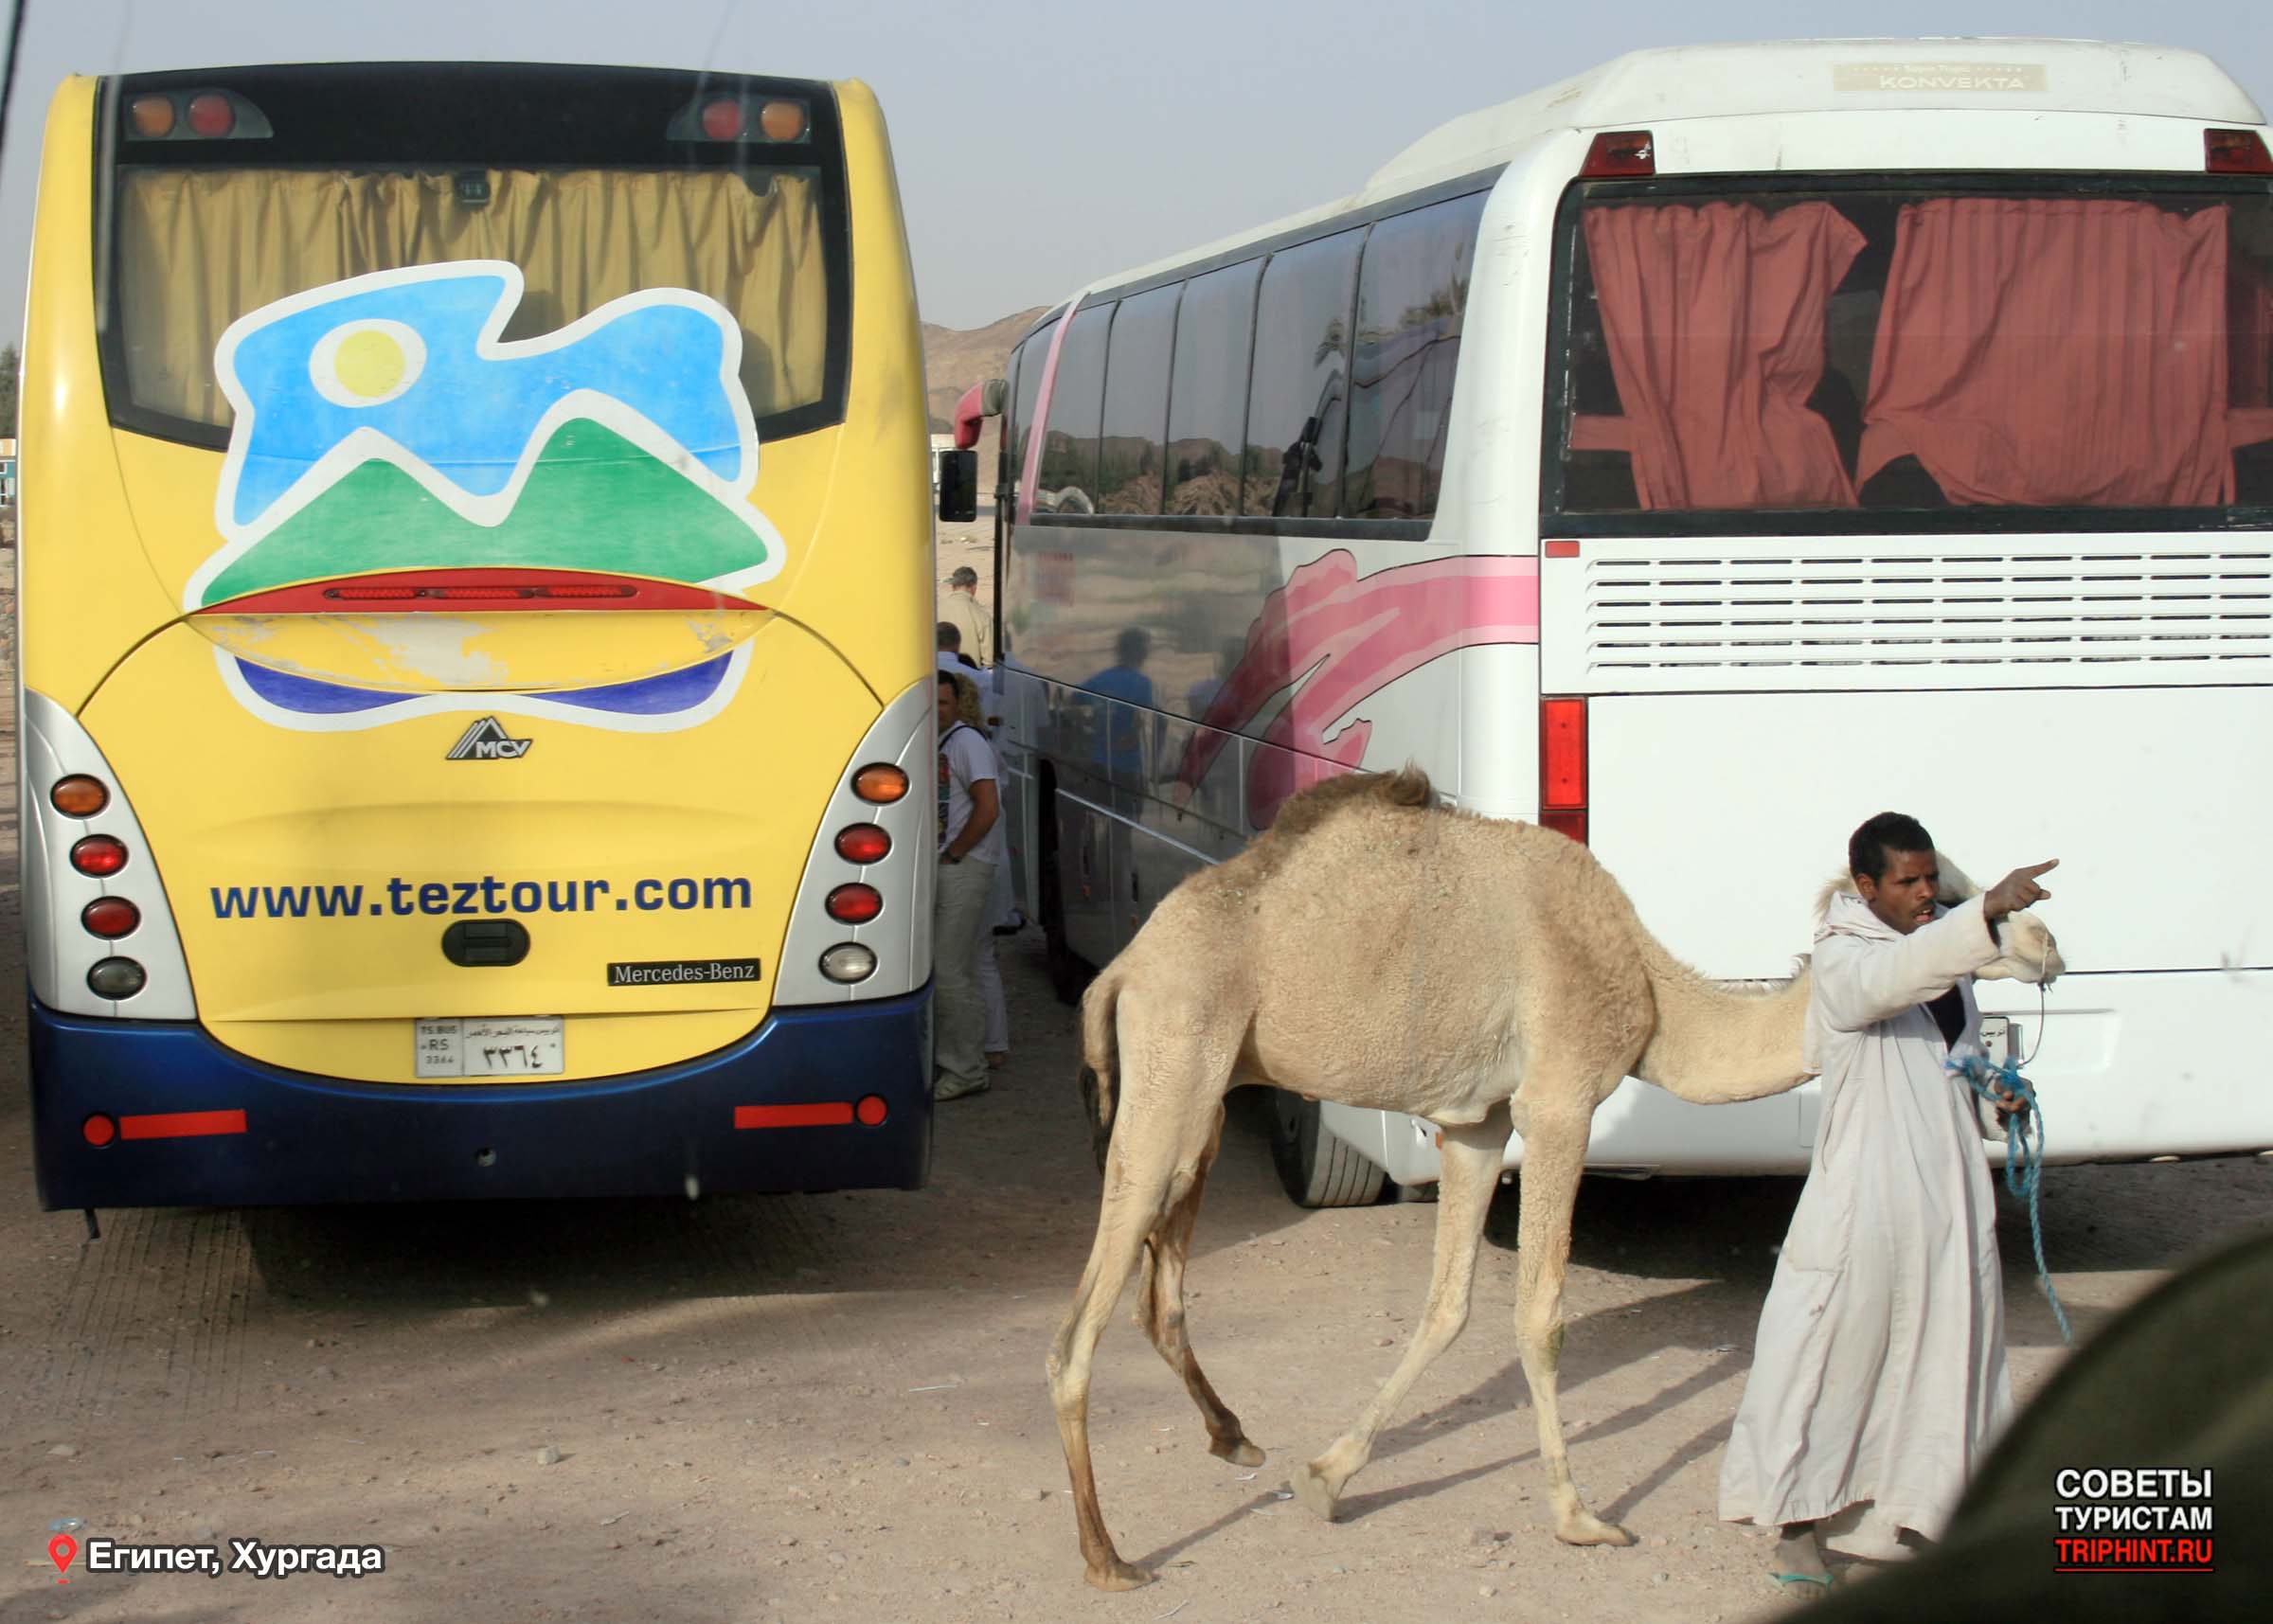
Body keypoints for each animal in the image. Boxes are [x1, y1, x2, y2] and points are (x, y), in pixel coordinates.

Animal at [1046, 767, 2064, 1598]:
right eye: (1947, 894)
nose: (2049, 940)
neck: (1647, 986)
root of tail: (1125, 968)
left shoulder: (1476, 1122)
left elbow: (1448, 1304)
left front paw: (1327, 1476)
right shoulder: (1560, 1099)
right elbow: (1540, 1315)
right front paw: (1581, 1517)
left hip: (1202, 1098)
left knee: (1161, 1289)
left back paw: (1234, 1437)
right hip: (1178, 1058)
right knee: (1075, 1335)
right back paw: (1106, 1555)